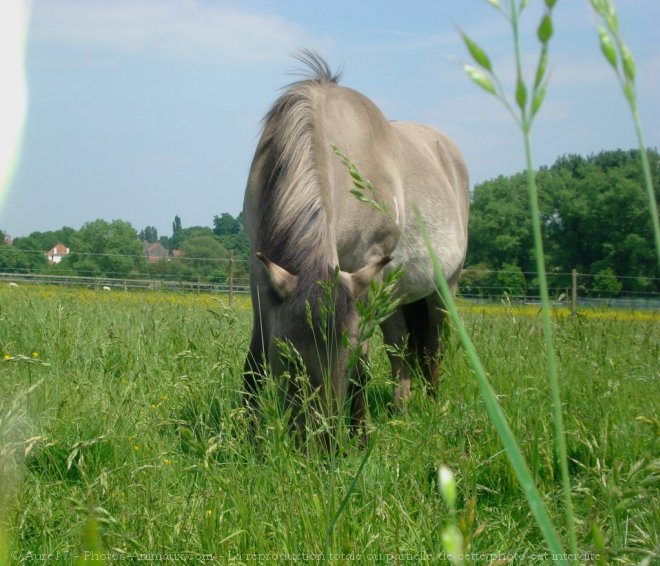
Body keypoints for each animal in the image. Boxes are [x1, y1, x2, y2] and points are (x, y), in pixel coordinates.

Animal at [244, 52, 470, 444]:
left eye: (345, 360)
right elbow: (254, 362)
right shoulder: (260, 271)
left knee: (433, 348)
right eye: (289, 357)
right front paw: (248, 439)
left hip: (442, 288)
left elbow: (365, 364)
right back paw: (401, 408)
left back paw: (432, 407)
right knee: (398, 347)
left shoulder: (364, 268)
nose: (322, 444)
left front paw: (360, 436)